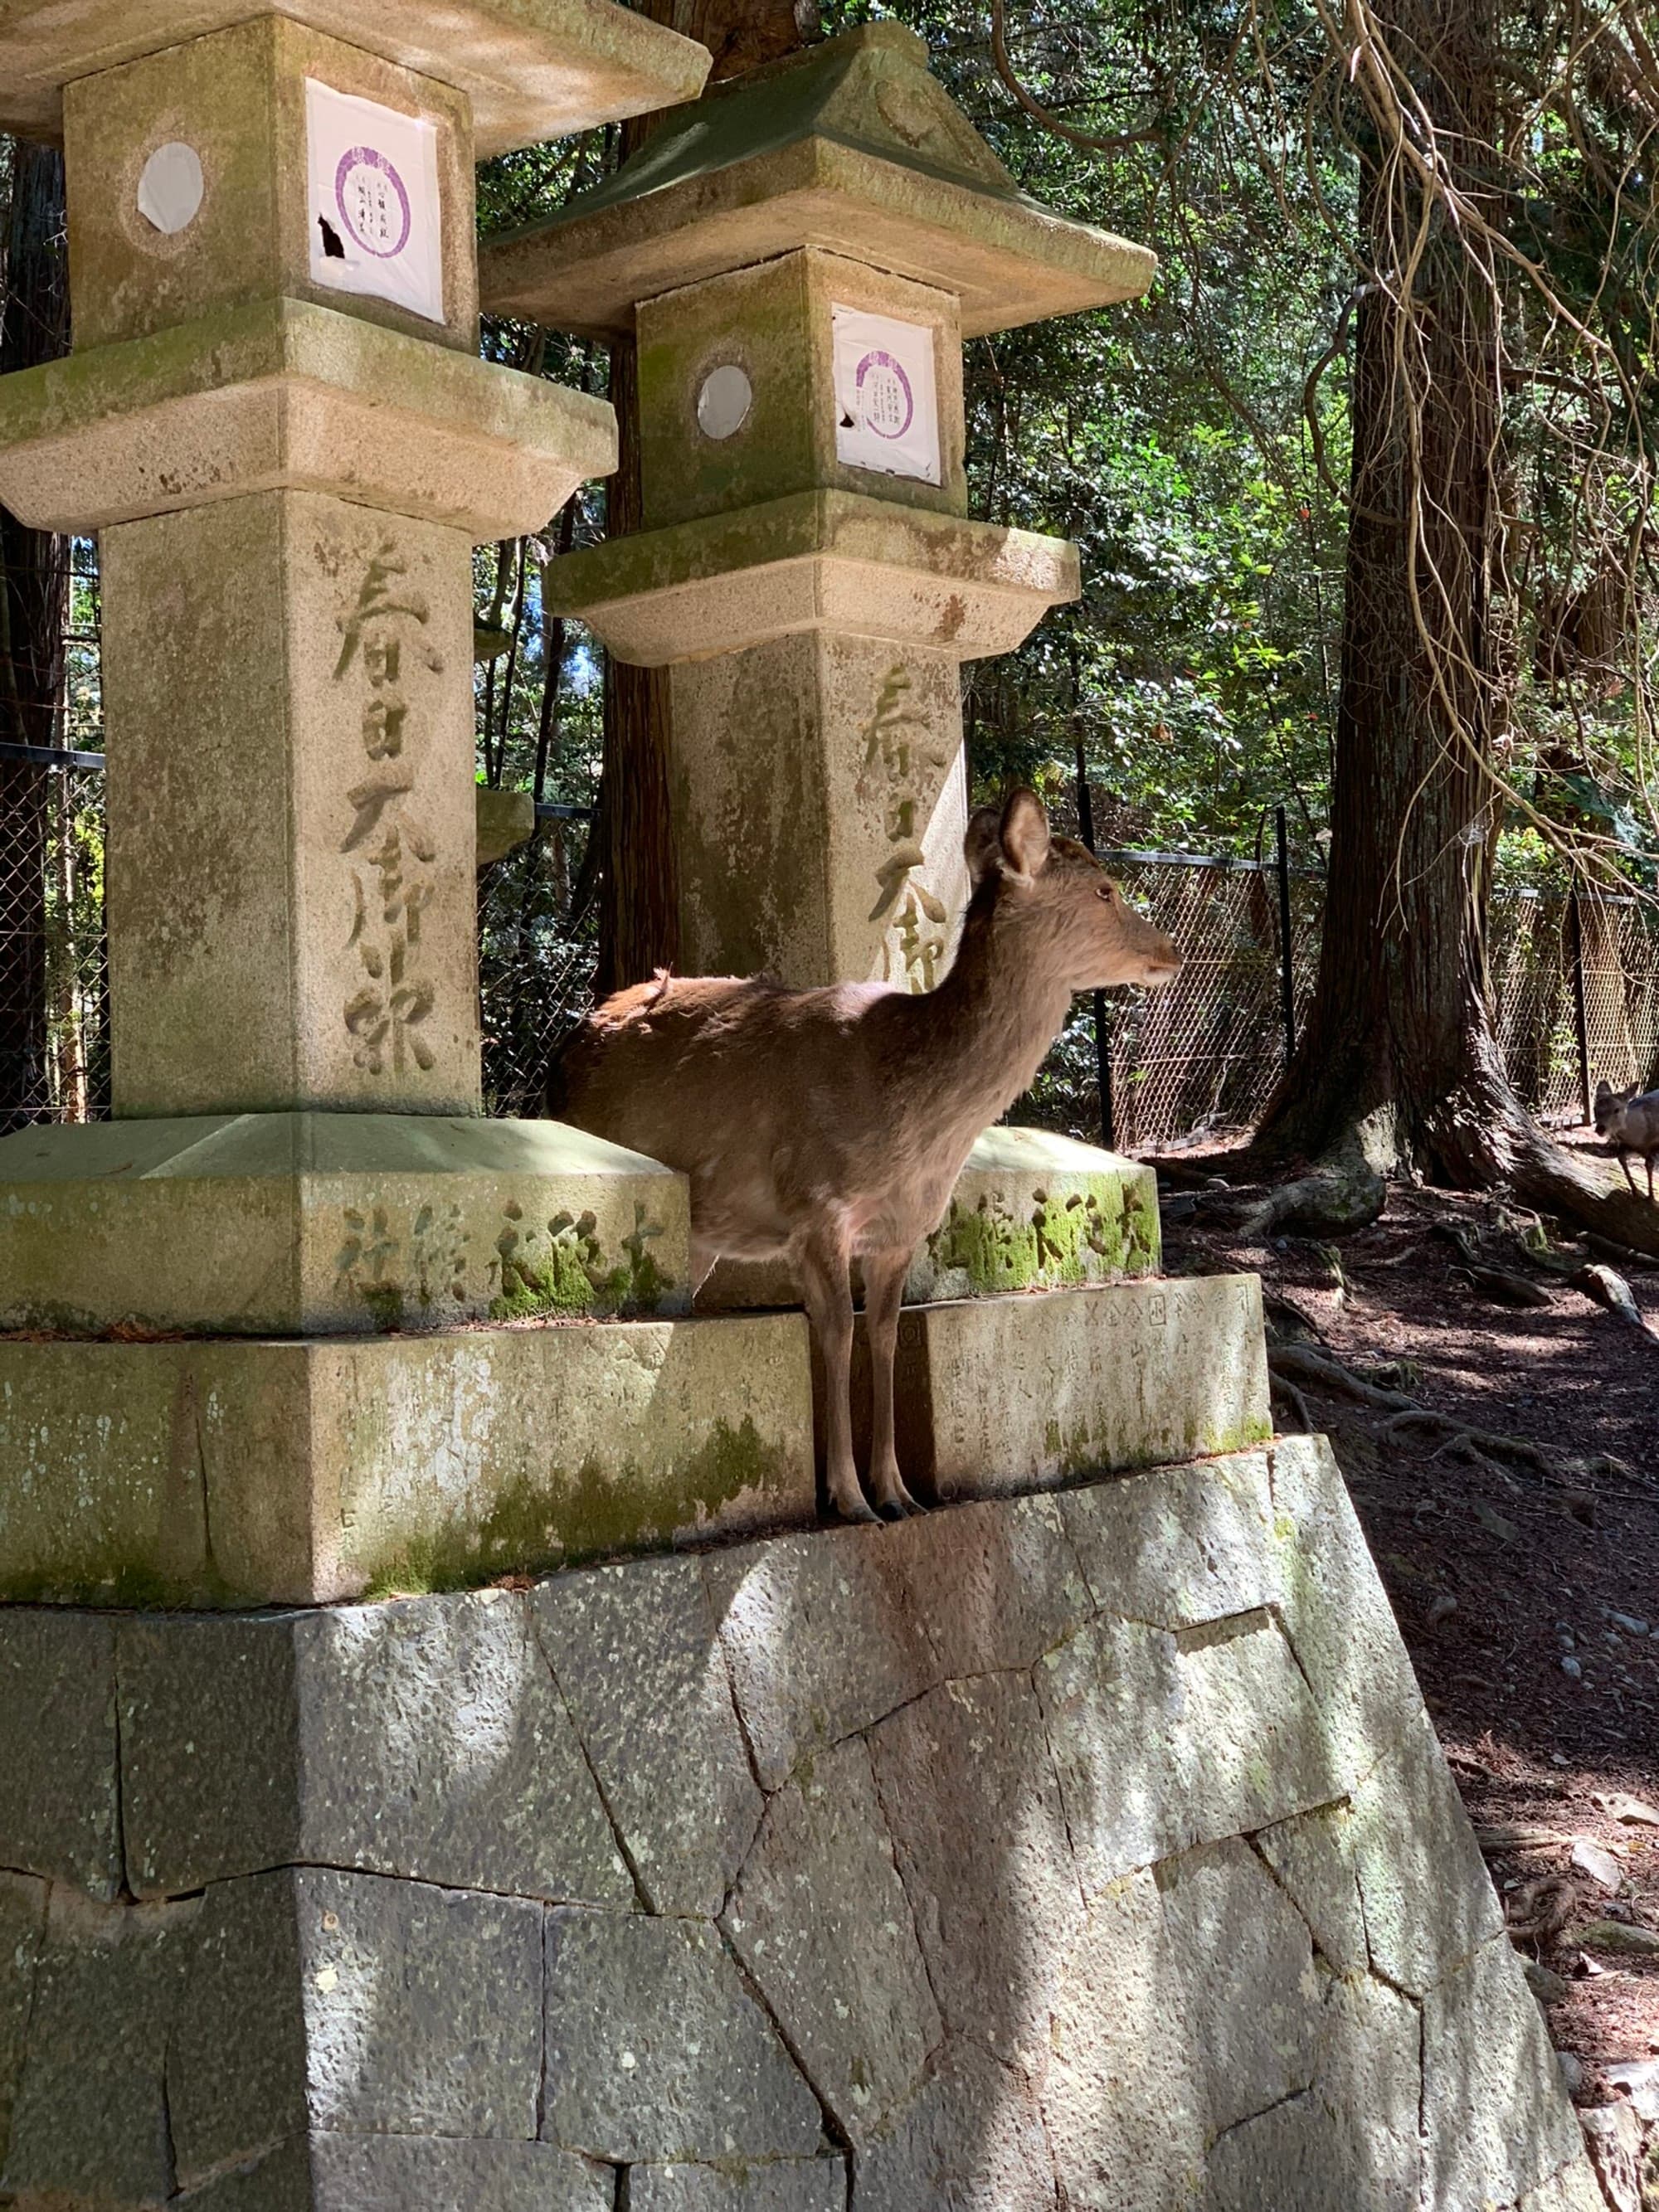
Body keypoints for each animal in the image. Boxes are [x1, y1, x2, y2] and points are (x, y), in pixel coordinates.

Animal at [547, 790, 1182, 1524]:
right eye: (1105, 889)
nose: (1171, 950)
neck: (912, 1131)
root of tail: (563, 1054)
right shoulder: (815, 1205)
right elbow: (837, 1336)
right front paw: (848, 1497)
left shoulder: (901, 1230)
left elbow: (883, 1336)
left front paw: (898, 1492)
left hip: (701, 1233)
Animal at [1594, 1079, 1659, 1201]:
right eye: (1595, 1108)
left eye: (1616, 1110)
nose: (1600, 1129)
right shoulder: (1625, 1145)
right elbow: (1621, 1159)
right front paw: (1635, 1190)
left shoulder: (1650, 1148)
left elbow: (1649, 1165)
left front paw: (1651, 1197)